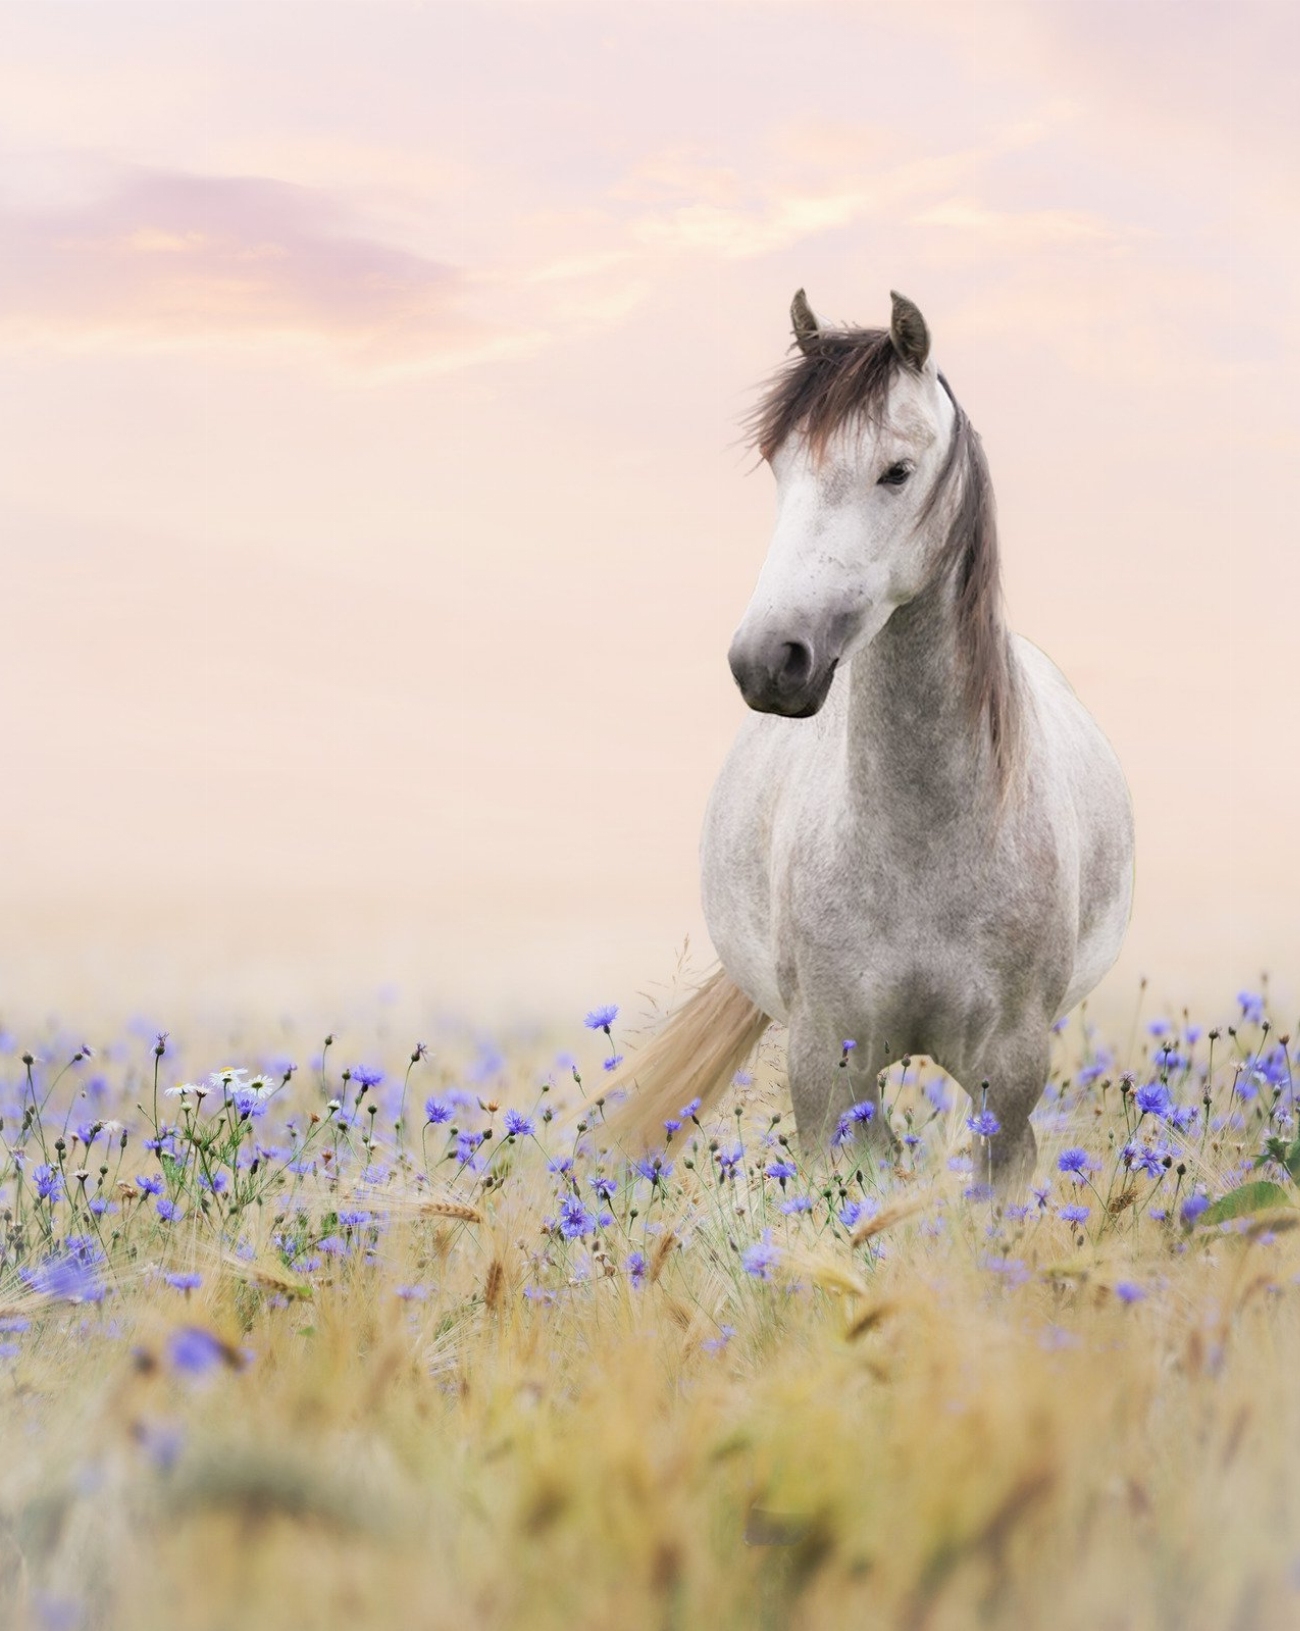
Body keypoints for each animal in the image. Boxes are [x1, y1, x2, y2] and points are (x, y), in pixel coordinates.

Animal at [599, 290, 1133, 1191]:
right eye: (779, 466)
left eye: (897, 471)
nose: (768, 660)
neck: (922, 836)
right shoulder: (827, 1066)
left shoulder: (1010, 1072)